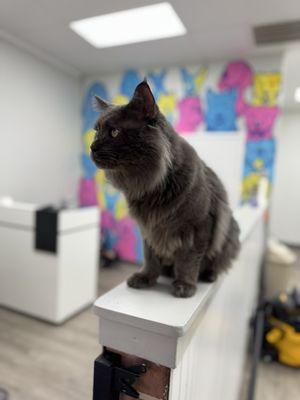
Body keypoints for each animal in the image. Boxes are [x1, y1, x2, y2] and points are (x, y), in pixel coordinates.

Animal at [90, 80, 240, 296]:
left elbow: (188, 260)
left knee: (217, 262)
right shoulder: (149, 229)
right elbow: (150, 258)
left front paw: (185, 285)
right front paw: (146, 278)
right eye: (96, 131)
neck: (152, 187)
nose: (92, 147)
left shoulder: (198, 226)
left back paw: (208, 275)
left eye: (114, 132)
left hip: (231, 232)